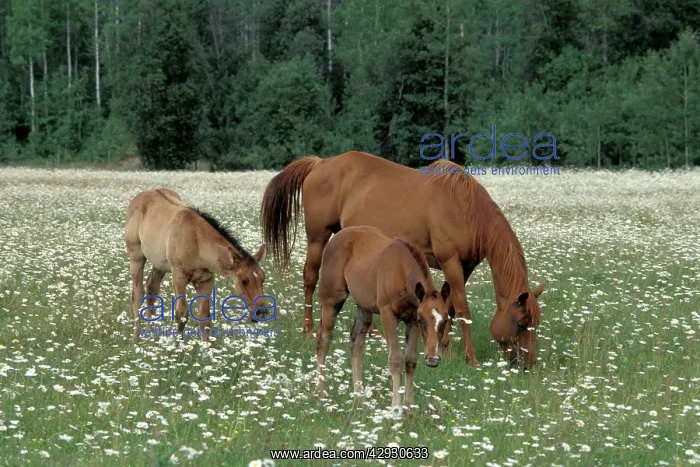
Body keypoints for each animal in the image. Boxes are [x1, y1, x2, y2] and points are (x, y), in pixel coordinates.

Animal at [125, 188, 266, 344]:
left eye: (263, 278)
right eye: (244, 280)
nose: (261, 312)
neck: (196, 240)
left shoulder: (206, 280)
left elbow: (204, 317)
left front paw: (206, 348)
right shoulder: (179, 277)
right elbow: (181, 313)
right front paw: (178, 345)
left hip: (159, 264)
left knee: (151, 288)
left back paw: (152, 338)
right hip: (136, 257)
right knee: (137, 295)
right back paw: (137, 341)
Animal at [261, 151, 546, 369]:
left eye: (536, 323)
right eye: (521, 323)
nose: (529, 365)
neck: (466, 209)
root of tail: (319, 164)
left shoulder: (464, 267)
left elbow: (450, 306)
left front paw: (444, 346)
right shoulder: (450, 261)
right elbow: (463, 308)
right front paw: (469, 358)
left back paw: (373, 332)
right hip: (318, 238)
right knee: (310, 278)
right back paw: (309, 330)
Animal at [315, 226, 452, 407]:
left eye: (445, 319)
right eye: (422, 320)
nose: (433, 359)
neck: (401, 269)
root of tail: (337, 236)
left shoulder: (411, 320)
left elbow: (410, 360)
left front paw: (409, 406)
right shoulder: (388, 315)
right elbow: (395, 359)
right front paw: (395, 406)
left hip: (364, 307)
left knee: (356, 343)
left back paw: (359, 399)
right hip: (332, 299)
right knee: (323, 339)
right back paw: (320, 394)